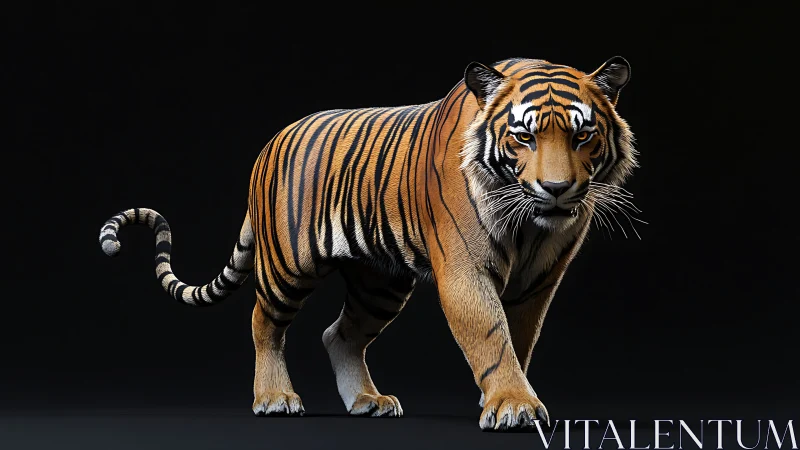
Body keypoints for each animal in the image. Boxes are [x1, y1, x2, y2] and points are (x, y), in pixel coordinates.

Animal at [98, 56, 636, 431]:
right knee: (263, 321)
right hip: (287, 266)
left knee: (340, 334)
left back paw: (367, 402)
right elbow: (490, 334)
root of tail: (268, 145)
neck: (529, 226)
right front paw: (515, 406)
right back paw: (274, 399)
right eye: (524, 137)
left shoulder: (539, 281)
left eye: (582, 135)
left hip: (380, 281)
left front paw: (504, 398)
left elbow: (519, 340)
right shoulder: (465, 269)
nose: (557, 188)